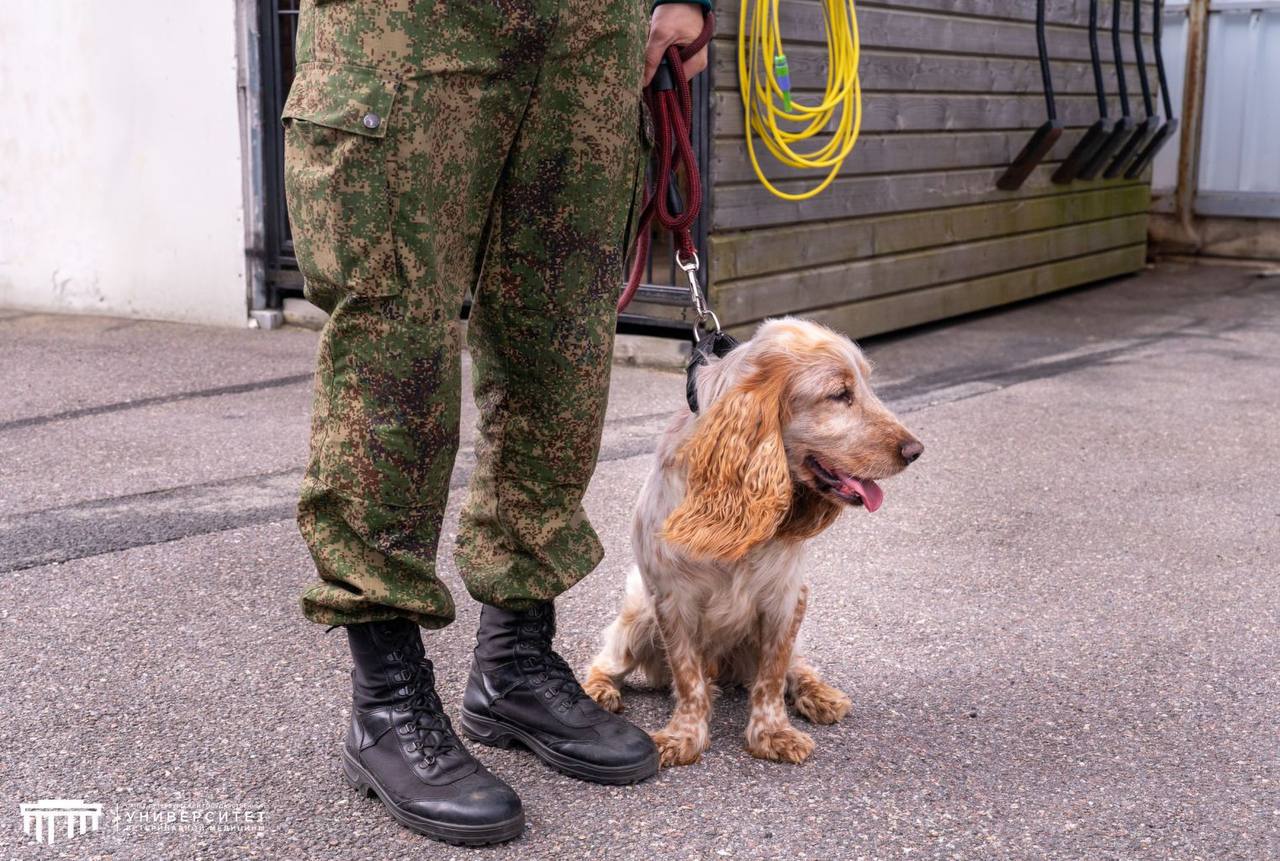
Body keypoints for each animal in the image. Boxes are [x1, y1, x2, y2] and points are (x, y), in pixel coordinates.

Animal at [584, 317, 922, 766]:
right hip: (638, 616)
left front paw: (773, 733)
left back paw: (819, 695)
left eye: (866, 386)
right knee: (609, 660)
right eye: (839, 394)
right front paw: (683, 736)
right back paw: (598, 691)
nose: (915, 451)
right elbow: (688, 677)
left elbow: (772, 677)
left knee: (798, 666)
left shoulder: (786, 597)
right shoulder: (671, 600)